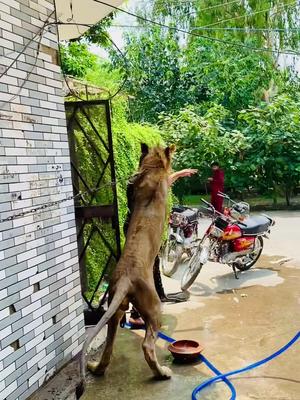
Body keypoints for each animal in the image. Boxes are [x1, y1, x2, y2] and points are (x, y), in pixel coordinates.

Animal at [76, 144, 176, 396]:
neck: (151, 169)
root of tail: (125, 278)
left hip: (116, 310)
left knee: (109, 348)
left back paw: (96, 368)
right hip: (154, 308)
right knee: (147, 345)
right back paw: (162, 373)